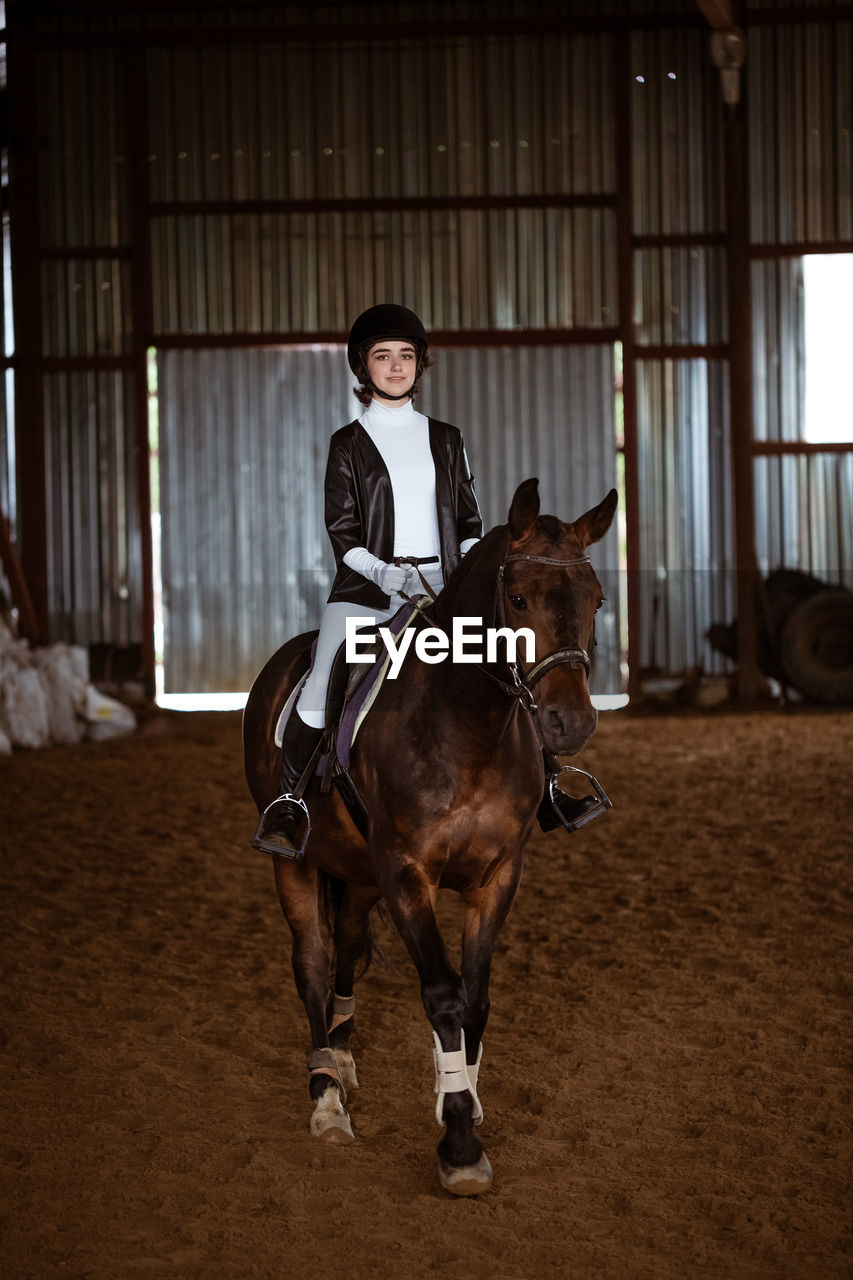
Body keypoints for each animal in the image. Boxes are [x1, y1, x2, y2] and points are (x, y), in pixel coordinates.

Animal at [242, 476, 614, 1192]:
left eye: (598, 599)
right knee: (313, 963)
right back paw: (326, 1095)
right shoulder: (407, 872)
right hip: (294, 863)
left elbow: (476, 1001)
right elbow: (442, 995)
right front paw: (460, 1145)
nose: (569, 723)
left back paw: (342, 1057)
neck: (467, 726)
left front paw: (459, 1096)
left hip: (358, 874)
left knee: (347, 949)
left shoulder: (498, 875)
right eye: (518, 599)